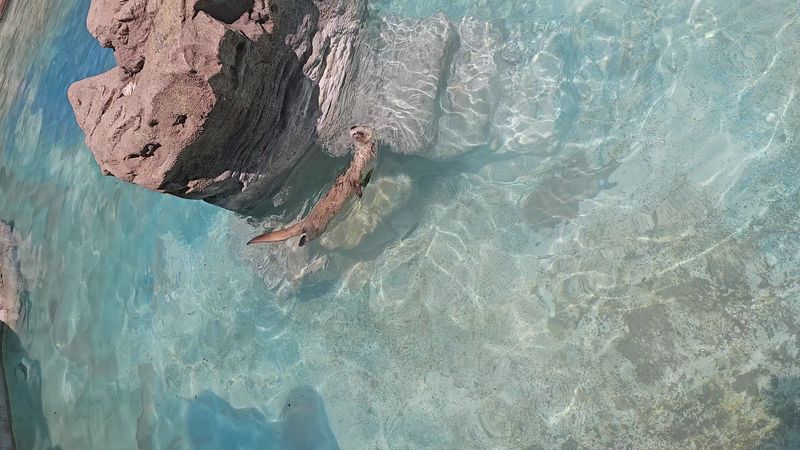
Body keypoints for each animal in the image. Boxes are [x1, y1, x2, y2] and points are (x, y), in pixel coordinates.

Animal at [247, 126, 378, 247]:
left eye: (360, 131)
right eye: (355, 131)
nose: (354, 130)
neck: (366, 158)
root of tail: (306, 220)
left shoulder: (370, 168)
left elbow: (366, 177)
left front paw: (366, 183)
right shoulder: (355, 170)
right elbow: (354, 182)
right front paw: (359, 193)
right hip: (317, 228)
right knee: (307, 237)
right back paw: (301, 242)